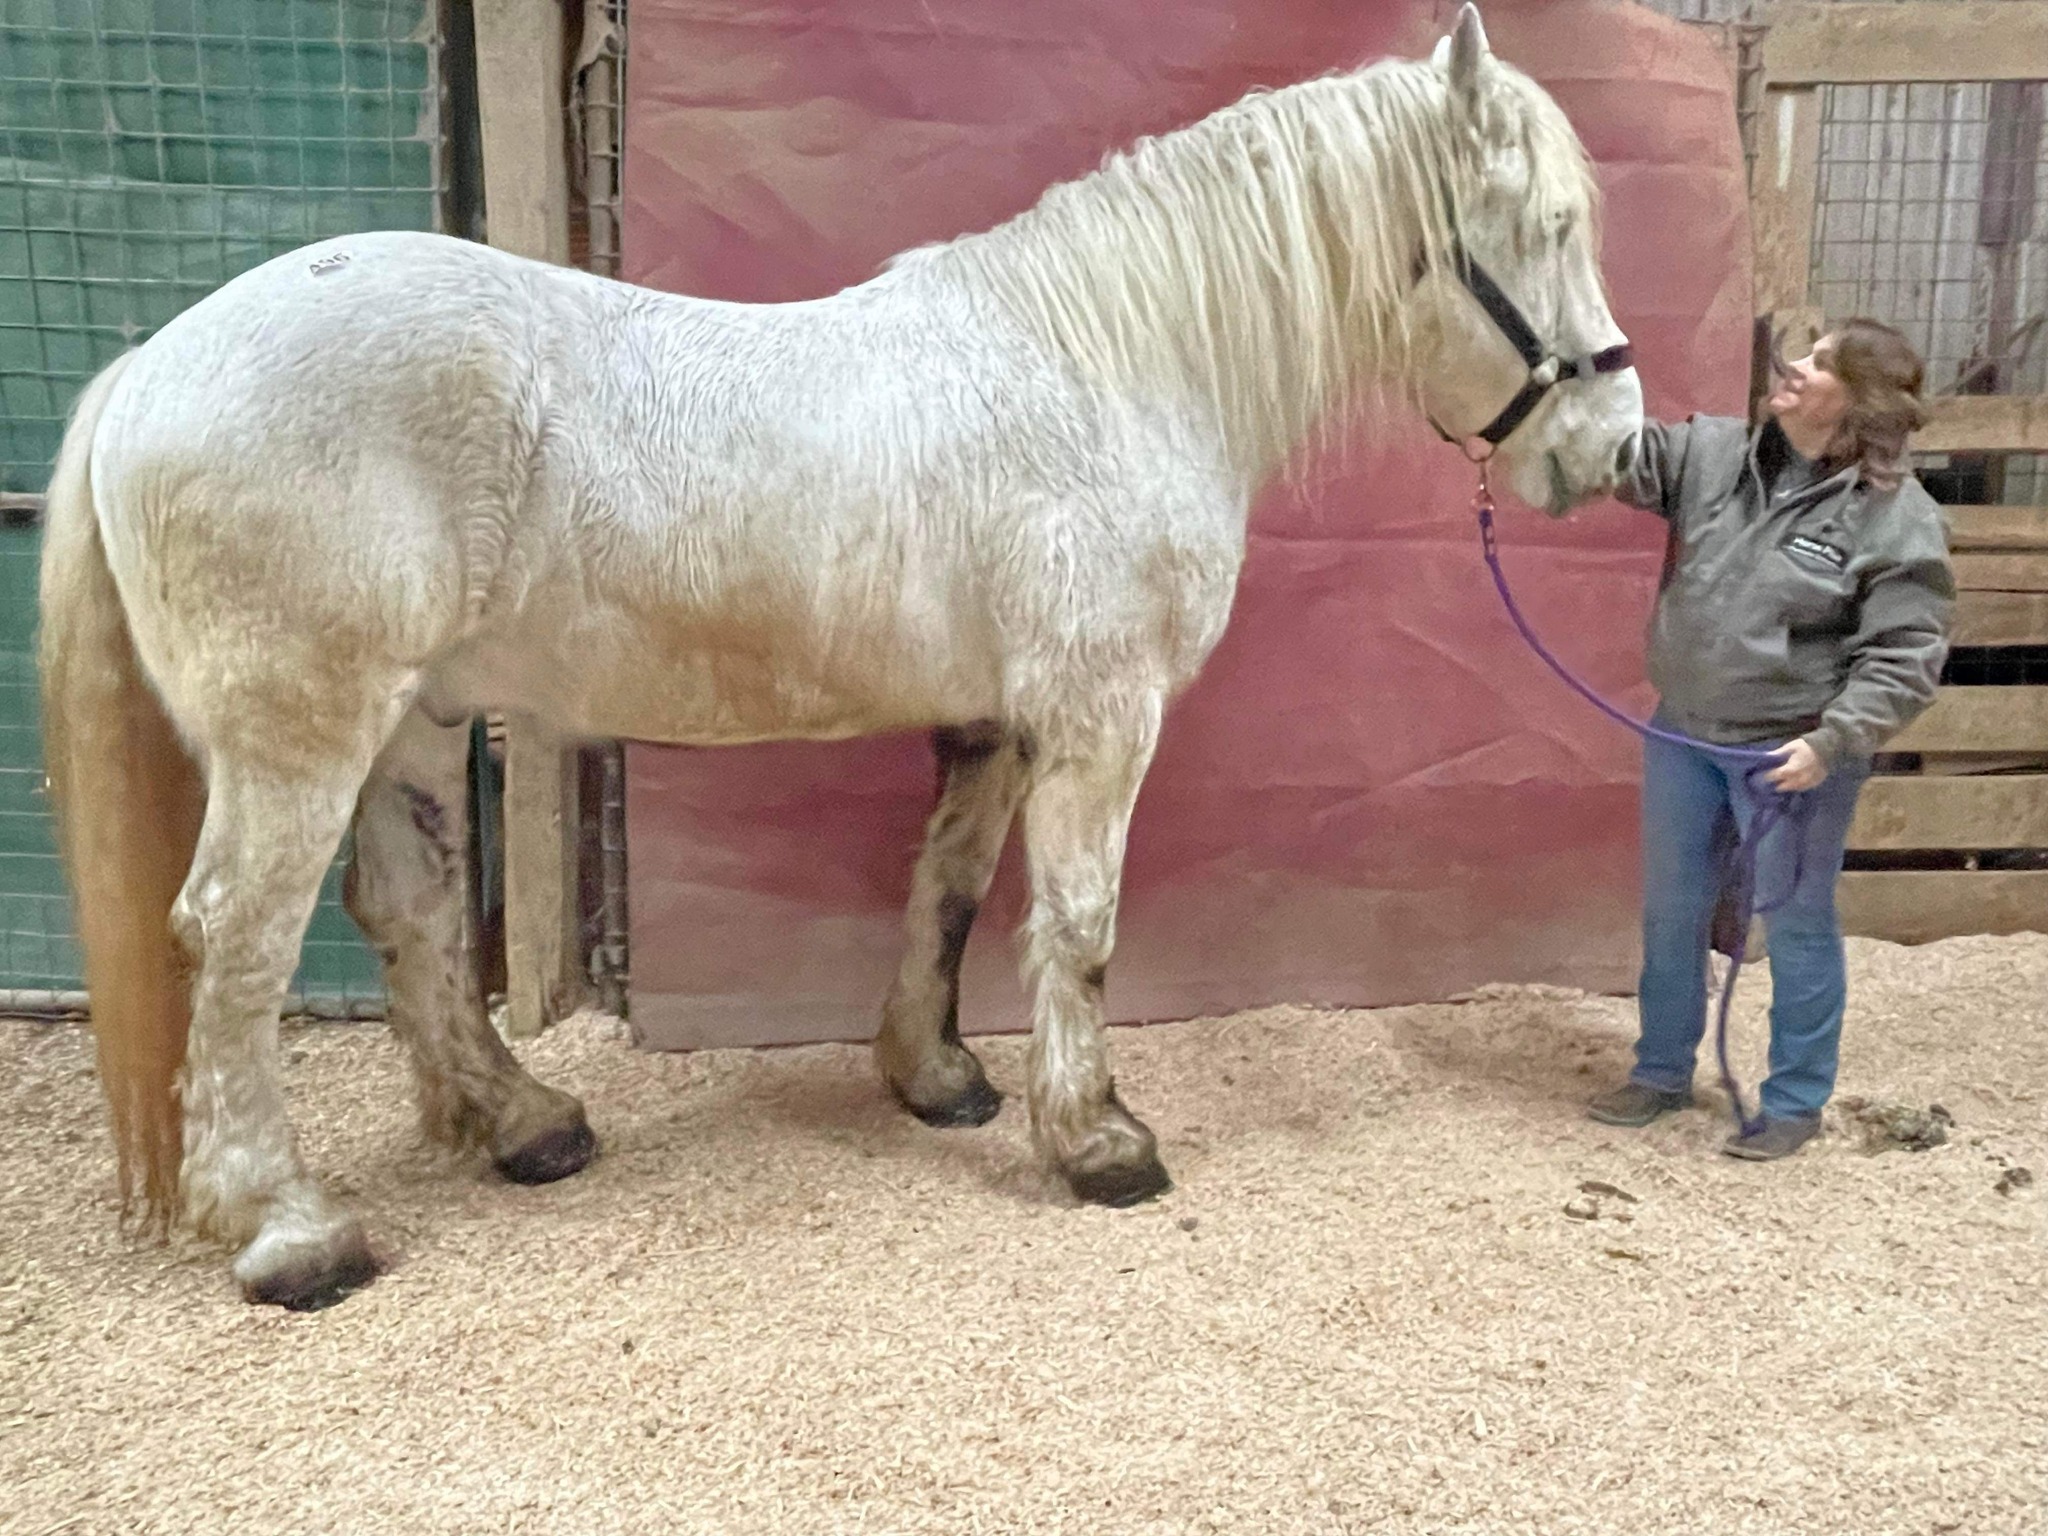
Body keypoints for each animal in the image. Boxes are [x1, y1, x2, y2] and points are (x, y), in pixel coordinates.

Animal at [39, 5, 1641, 1308]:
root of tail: (151, 366)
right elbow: (1081, 927)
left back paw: (525, 1123)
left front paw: (938, 1081)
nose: (1615, 448)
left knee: (414, 913)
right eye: (1550, 225)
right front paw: (1099, 1142)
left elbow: (949, 894)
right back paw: (288, 1230)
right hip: (300, 734)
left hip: (411, 727)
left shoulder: (995, 724)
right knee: (235, 939)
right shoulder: (1100, 717)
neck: (1110, 368)